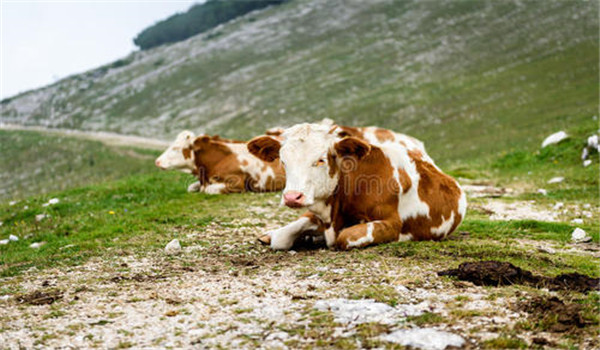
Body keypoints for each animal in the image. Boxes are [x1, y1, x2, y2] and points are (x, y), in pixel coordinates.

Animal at [246, 122, 466, 249]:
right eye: (283, 161)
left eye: (321, 160)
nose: (292, 197)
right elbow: (281, 238)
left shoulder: (392, 224)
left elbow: (346, 236)